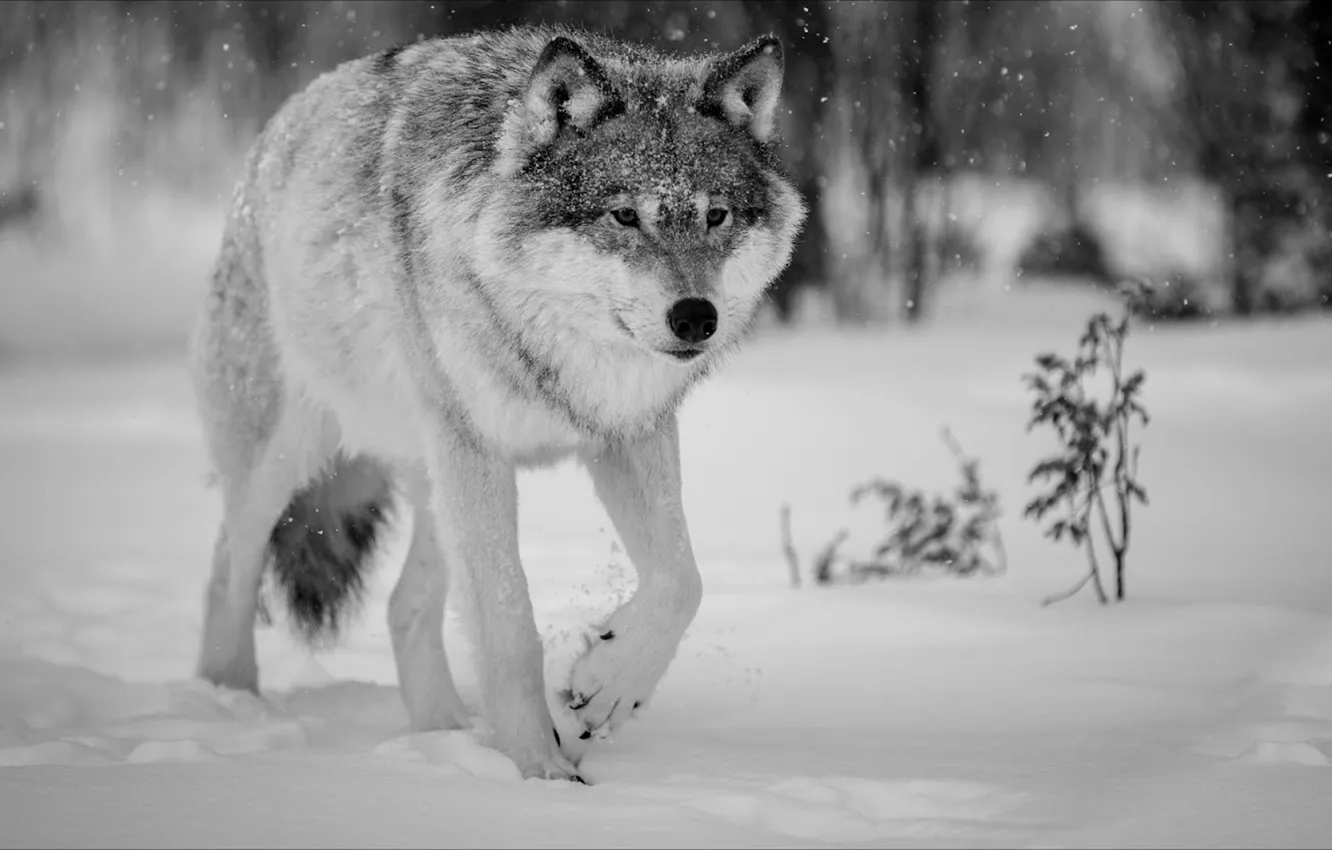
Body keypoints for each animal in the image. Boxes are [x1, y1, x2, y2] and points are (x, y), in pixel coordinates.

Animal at [189, 24, 805, 783]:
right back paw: (228, 709)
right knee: (229, 572)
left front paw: (608, 686)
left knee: (404, 607)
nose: (696, 318)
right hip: (286, 462)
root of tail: (277, 130)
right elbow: (510, 624)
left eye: (716, 215)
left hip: (433, 484)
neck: (557, 353)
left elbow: (682, 582)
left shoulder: (628, 434)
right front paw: (540, 775)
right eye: (624, 216)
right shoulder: (477, 452)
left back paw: (446, 738)